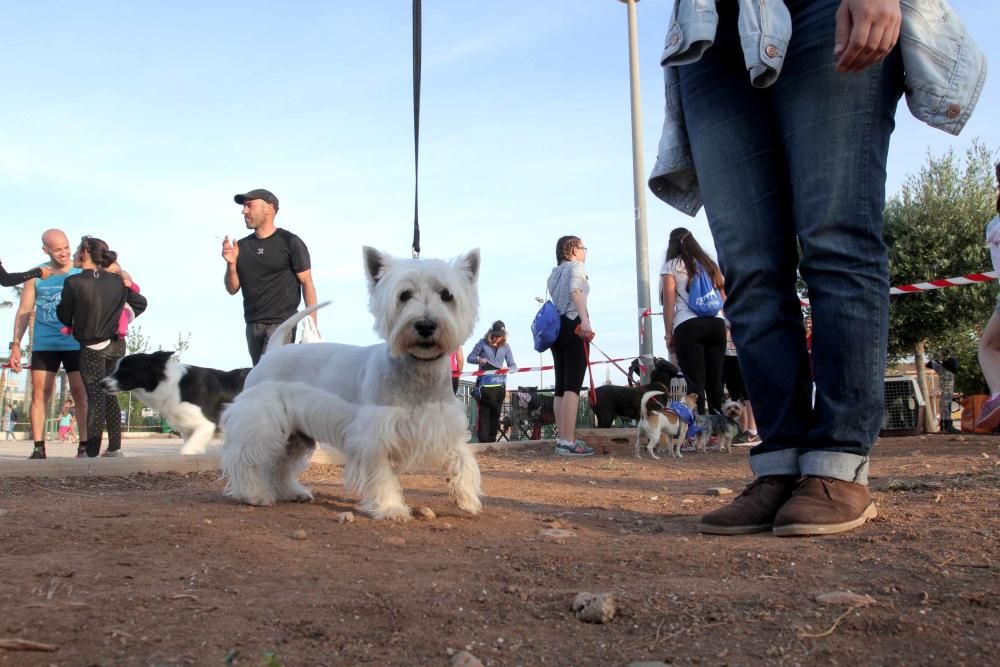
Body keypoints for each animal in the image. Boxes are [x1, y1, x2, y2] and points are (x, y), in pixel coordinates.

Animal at [100, 352, 250, 456]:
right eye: (115, 369)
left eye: (125, 370)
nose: (101, 383)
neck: (174, 386)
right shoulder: (189, 430)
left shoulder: (207, 425)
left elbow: (185, 451)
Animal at [220, 245, 484, 520]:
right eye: (404, 295)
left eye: (446, 295)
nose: (425, 325)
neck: (419, 371)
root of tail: (271, 352)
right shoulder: (374, 435)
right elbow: (382, 475)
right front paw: (391, 508)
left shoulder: (443, 425)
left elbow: (463, 459)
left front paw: (468, 500)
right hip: (261, 421)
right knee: (244, 457)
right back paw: (253, 494)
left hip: (296, 433)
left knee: (281, 463)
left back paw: (292, 492)